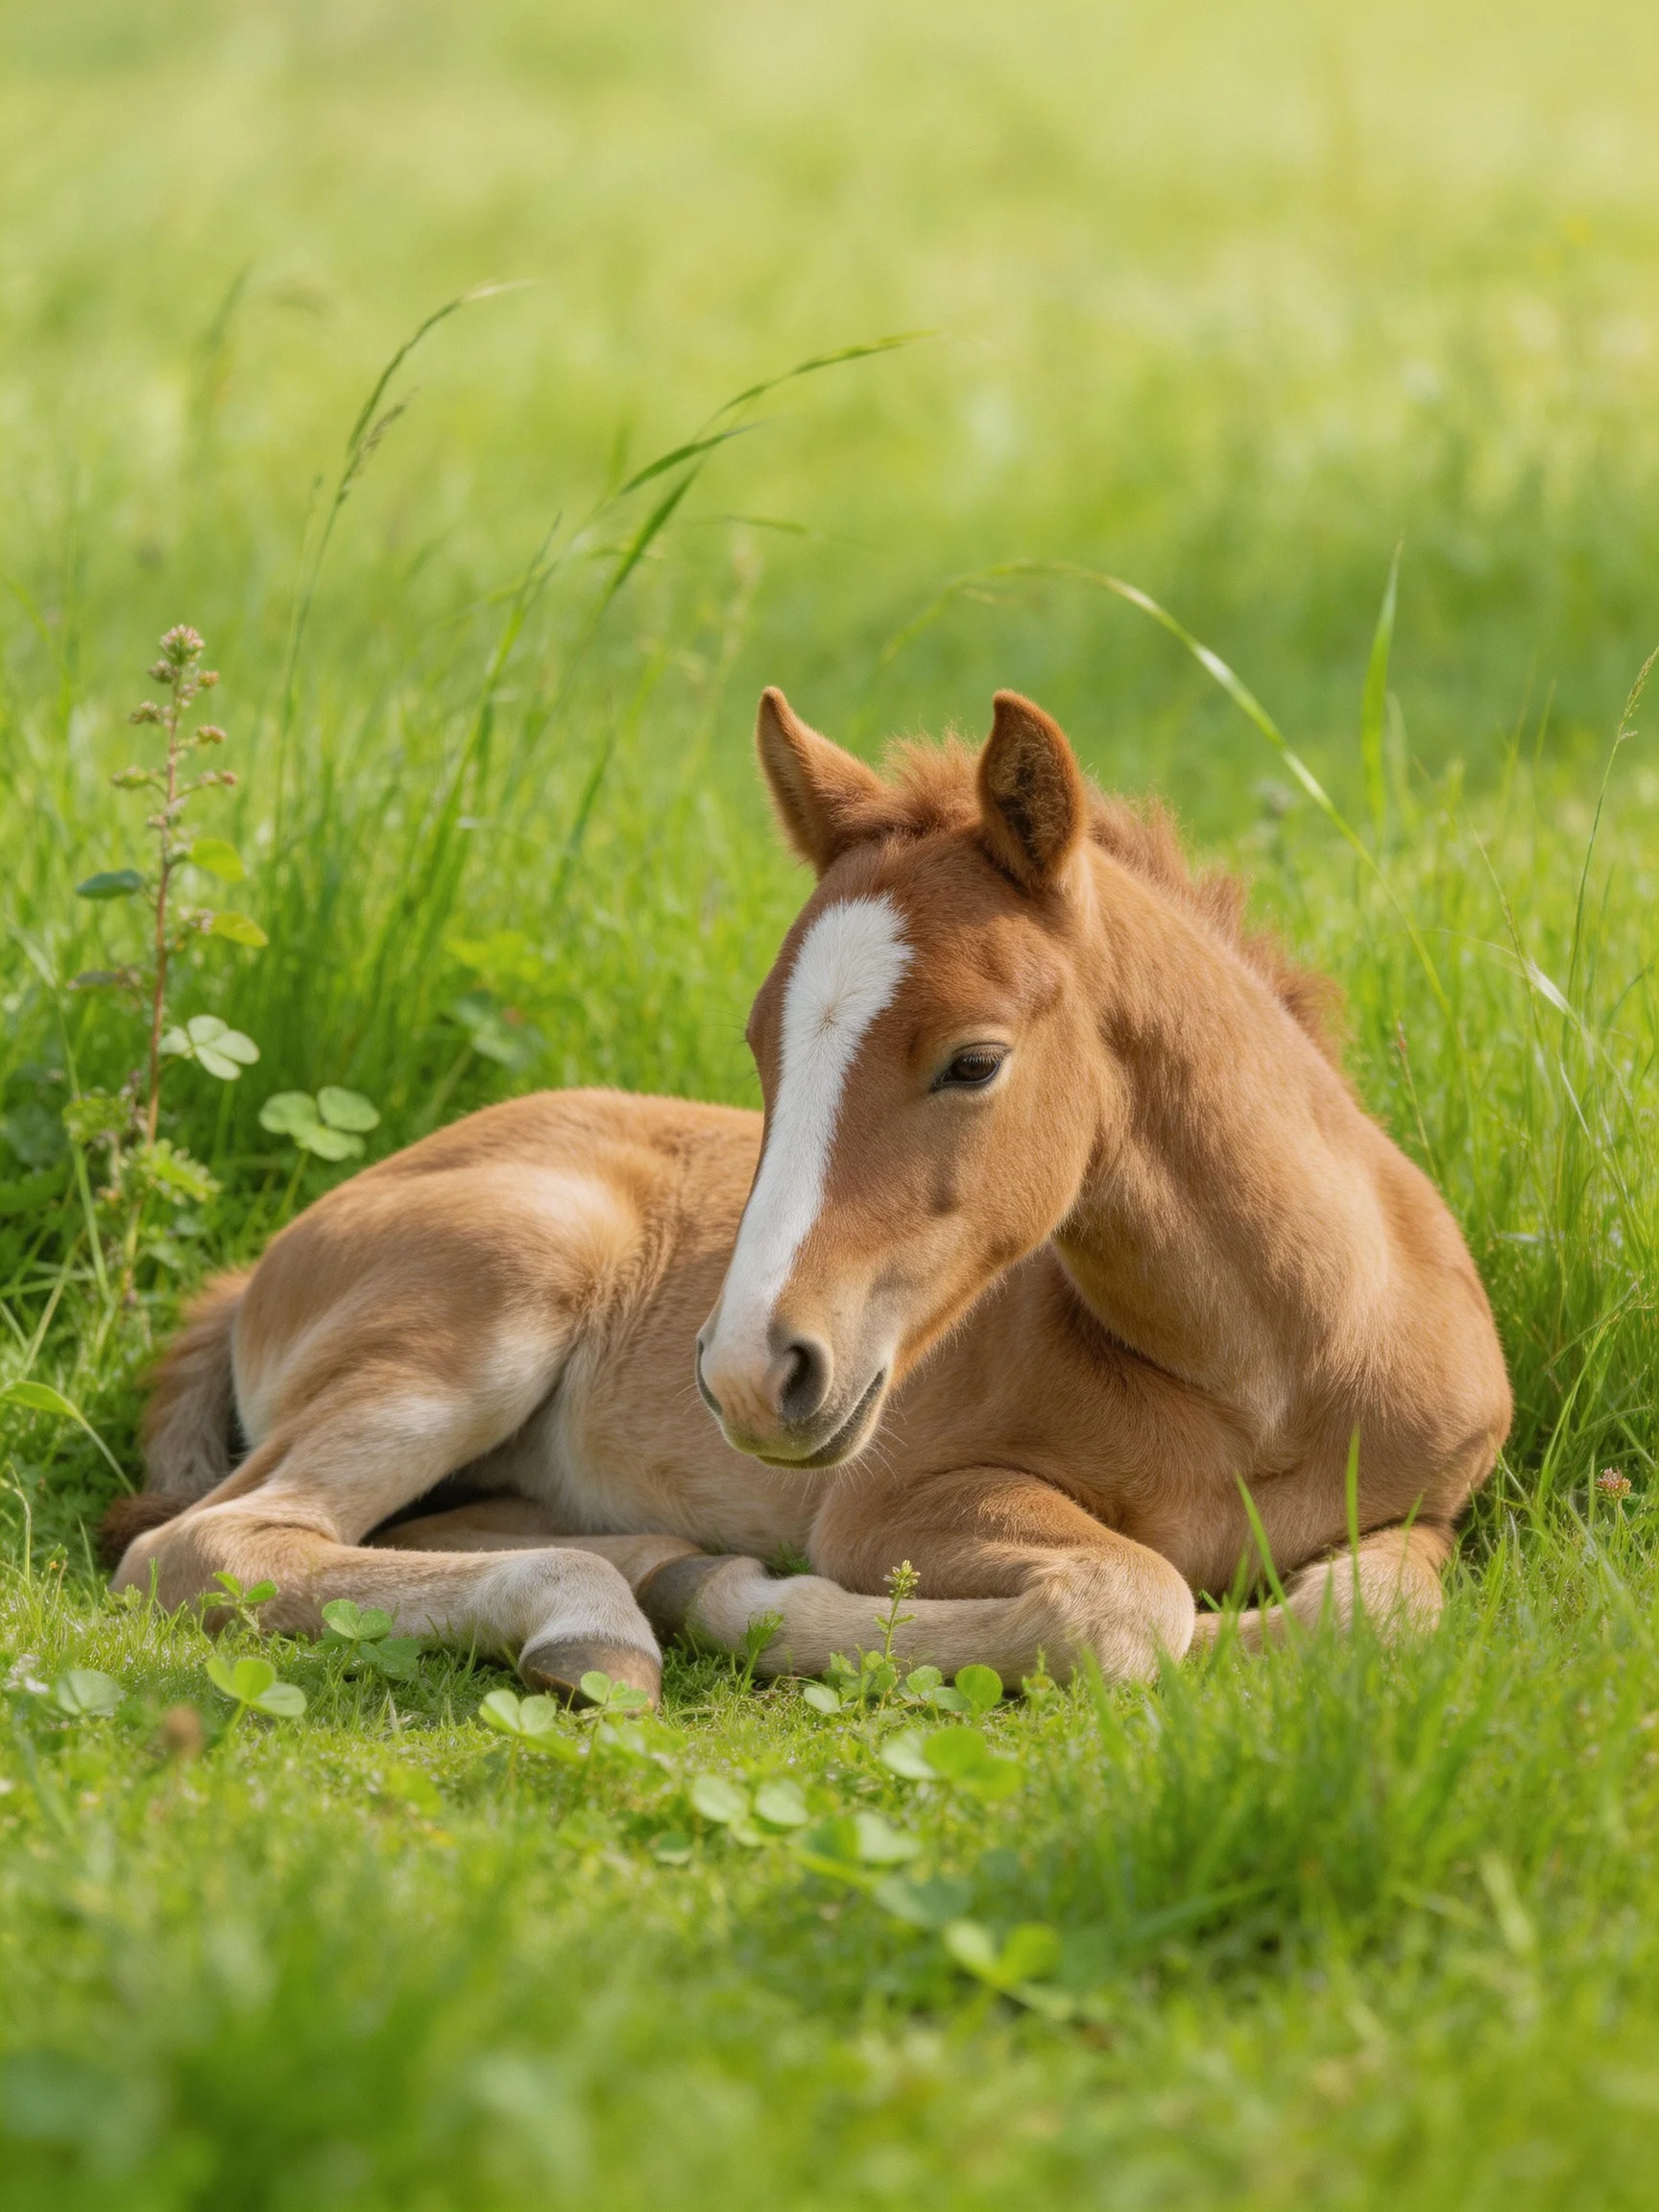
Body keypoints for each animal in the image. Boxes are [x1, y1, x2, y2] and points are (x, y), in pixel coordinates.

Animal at [105, 688, 1512, 1706]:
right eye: (759, 1046)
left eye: (975, 1060)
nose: (744, 1375)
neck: (1273, 1368)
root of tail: (258, 1269)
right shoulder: (889, 1505)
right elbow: (1134, 1604)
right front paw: (771, 1612)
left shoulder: (1429, 1509)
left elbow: (1373, 1618)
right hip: (494, 1295)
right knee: (214, 1543)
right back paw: (611, 1617)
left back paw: (649, 1583)